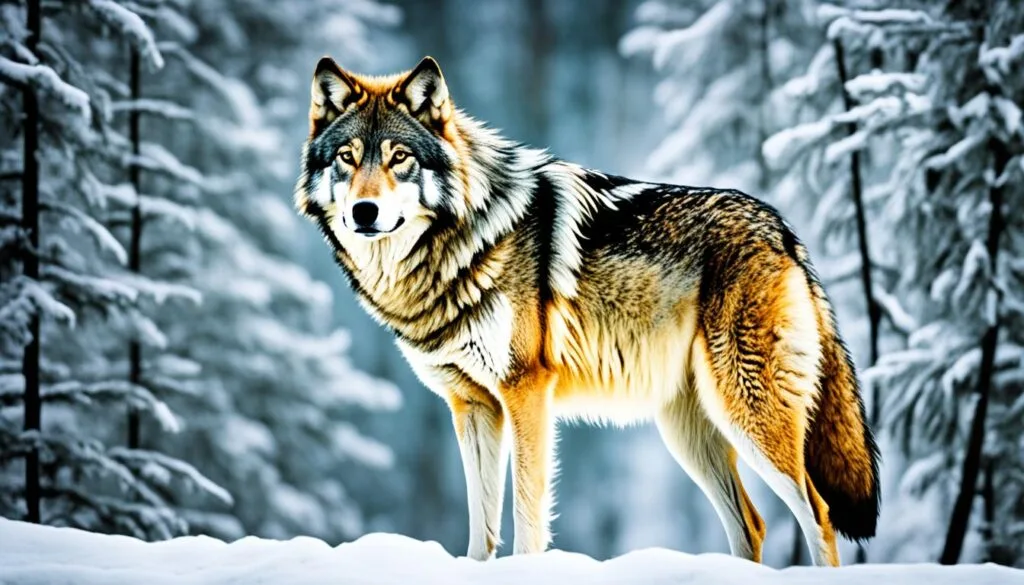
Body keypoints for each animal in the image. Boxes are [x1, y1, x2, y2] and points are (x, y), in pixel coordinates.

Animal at [295, 56, 880, 567]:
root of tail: (782, 229)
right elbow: (481, 528)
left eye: (399, 158)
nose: (363, 211)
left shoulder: (524, 392)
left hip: (746, 411)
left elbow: (526, 517)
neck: (461, 244)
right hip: (689, 433)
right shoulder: (471, 406)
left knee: (819, 514)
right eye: (347, 157)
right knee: (752, 526)